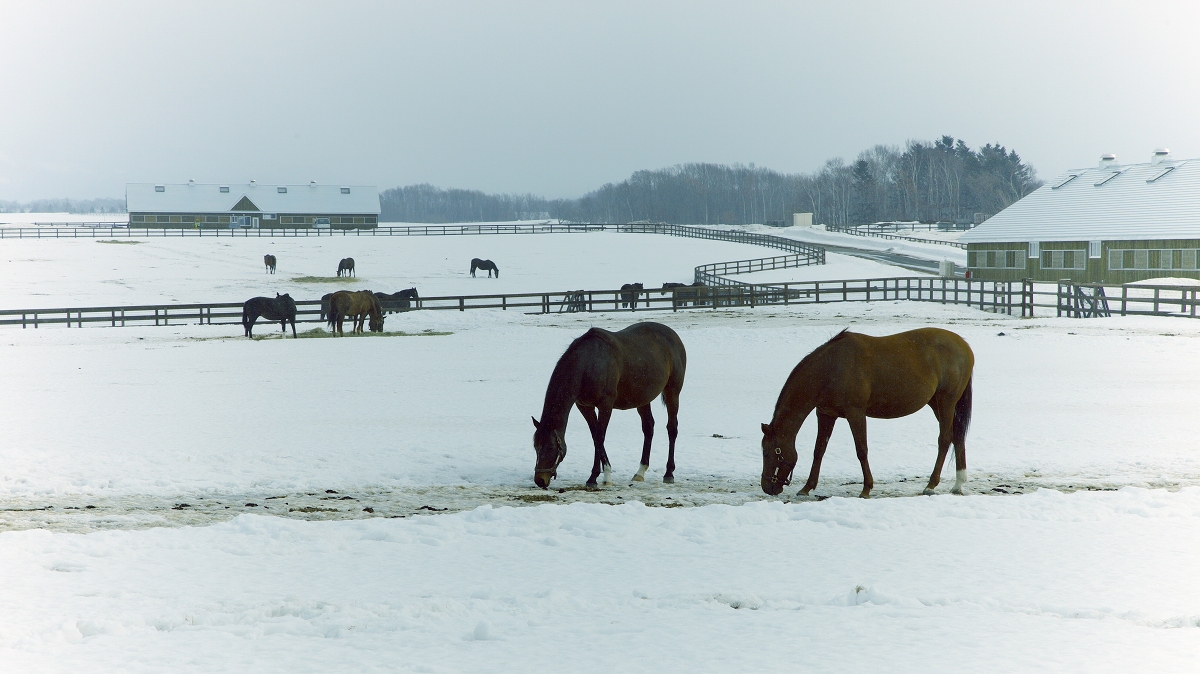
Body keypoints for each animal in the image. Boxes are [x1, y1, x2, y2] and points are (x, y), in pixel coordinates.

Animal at [532, 321, 691, 486]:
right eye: (535, 446)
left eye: (551, 448)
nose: (540, 480)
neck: (589, 364)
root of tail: (673, 336)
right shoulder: (585, 406)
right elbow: (595, 436)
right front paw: (601, 475)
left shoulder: (606, 405)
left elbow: (600, 437)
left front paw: (598, 477)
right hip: (643, 399)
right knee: (648, 428)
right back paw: (640, 472)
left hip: (672, 392)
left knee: (672, 428)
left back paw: (669, 473)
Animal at [758, 328, 974, 496]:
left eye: (767, 453)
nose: (767, 486)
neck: (829, 368)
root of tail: (965, 347)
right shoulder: (826, 414)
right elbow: (819, 450)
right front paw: (807, 487)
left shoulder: (856, 414)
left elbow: (861, 450)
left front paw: (866, 488)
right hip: (938, 405)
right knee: (957, 436)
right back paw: (958, 484)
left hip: (946, 403)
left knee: (944, 439)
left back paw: (931, 485)